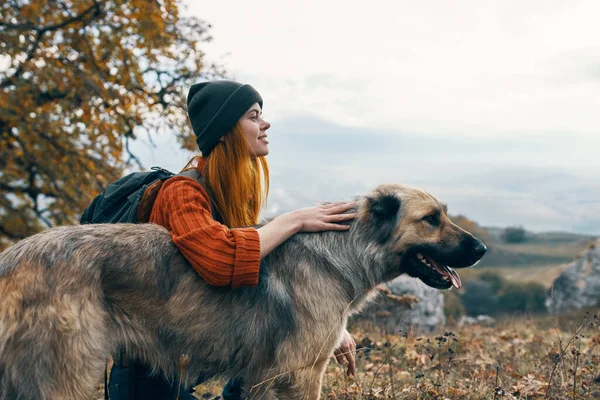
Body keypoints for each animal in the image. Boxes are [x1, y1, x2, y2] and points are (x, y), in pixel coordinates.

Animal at [0, 184, 486, 396]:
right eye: (431, 219)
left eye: (444, 213)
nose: (482, 248)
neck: (343, 251)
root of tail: (14, 256)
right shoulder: (301, 374)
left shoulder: (261, 377)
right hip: (66, 377)